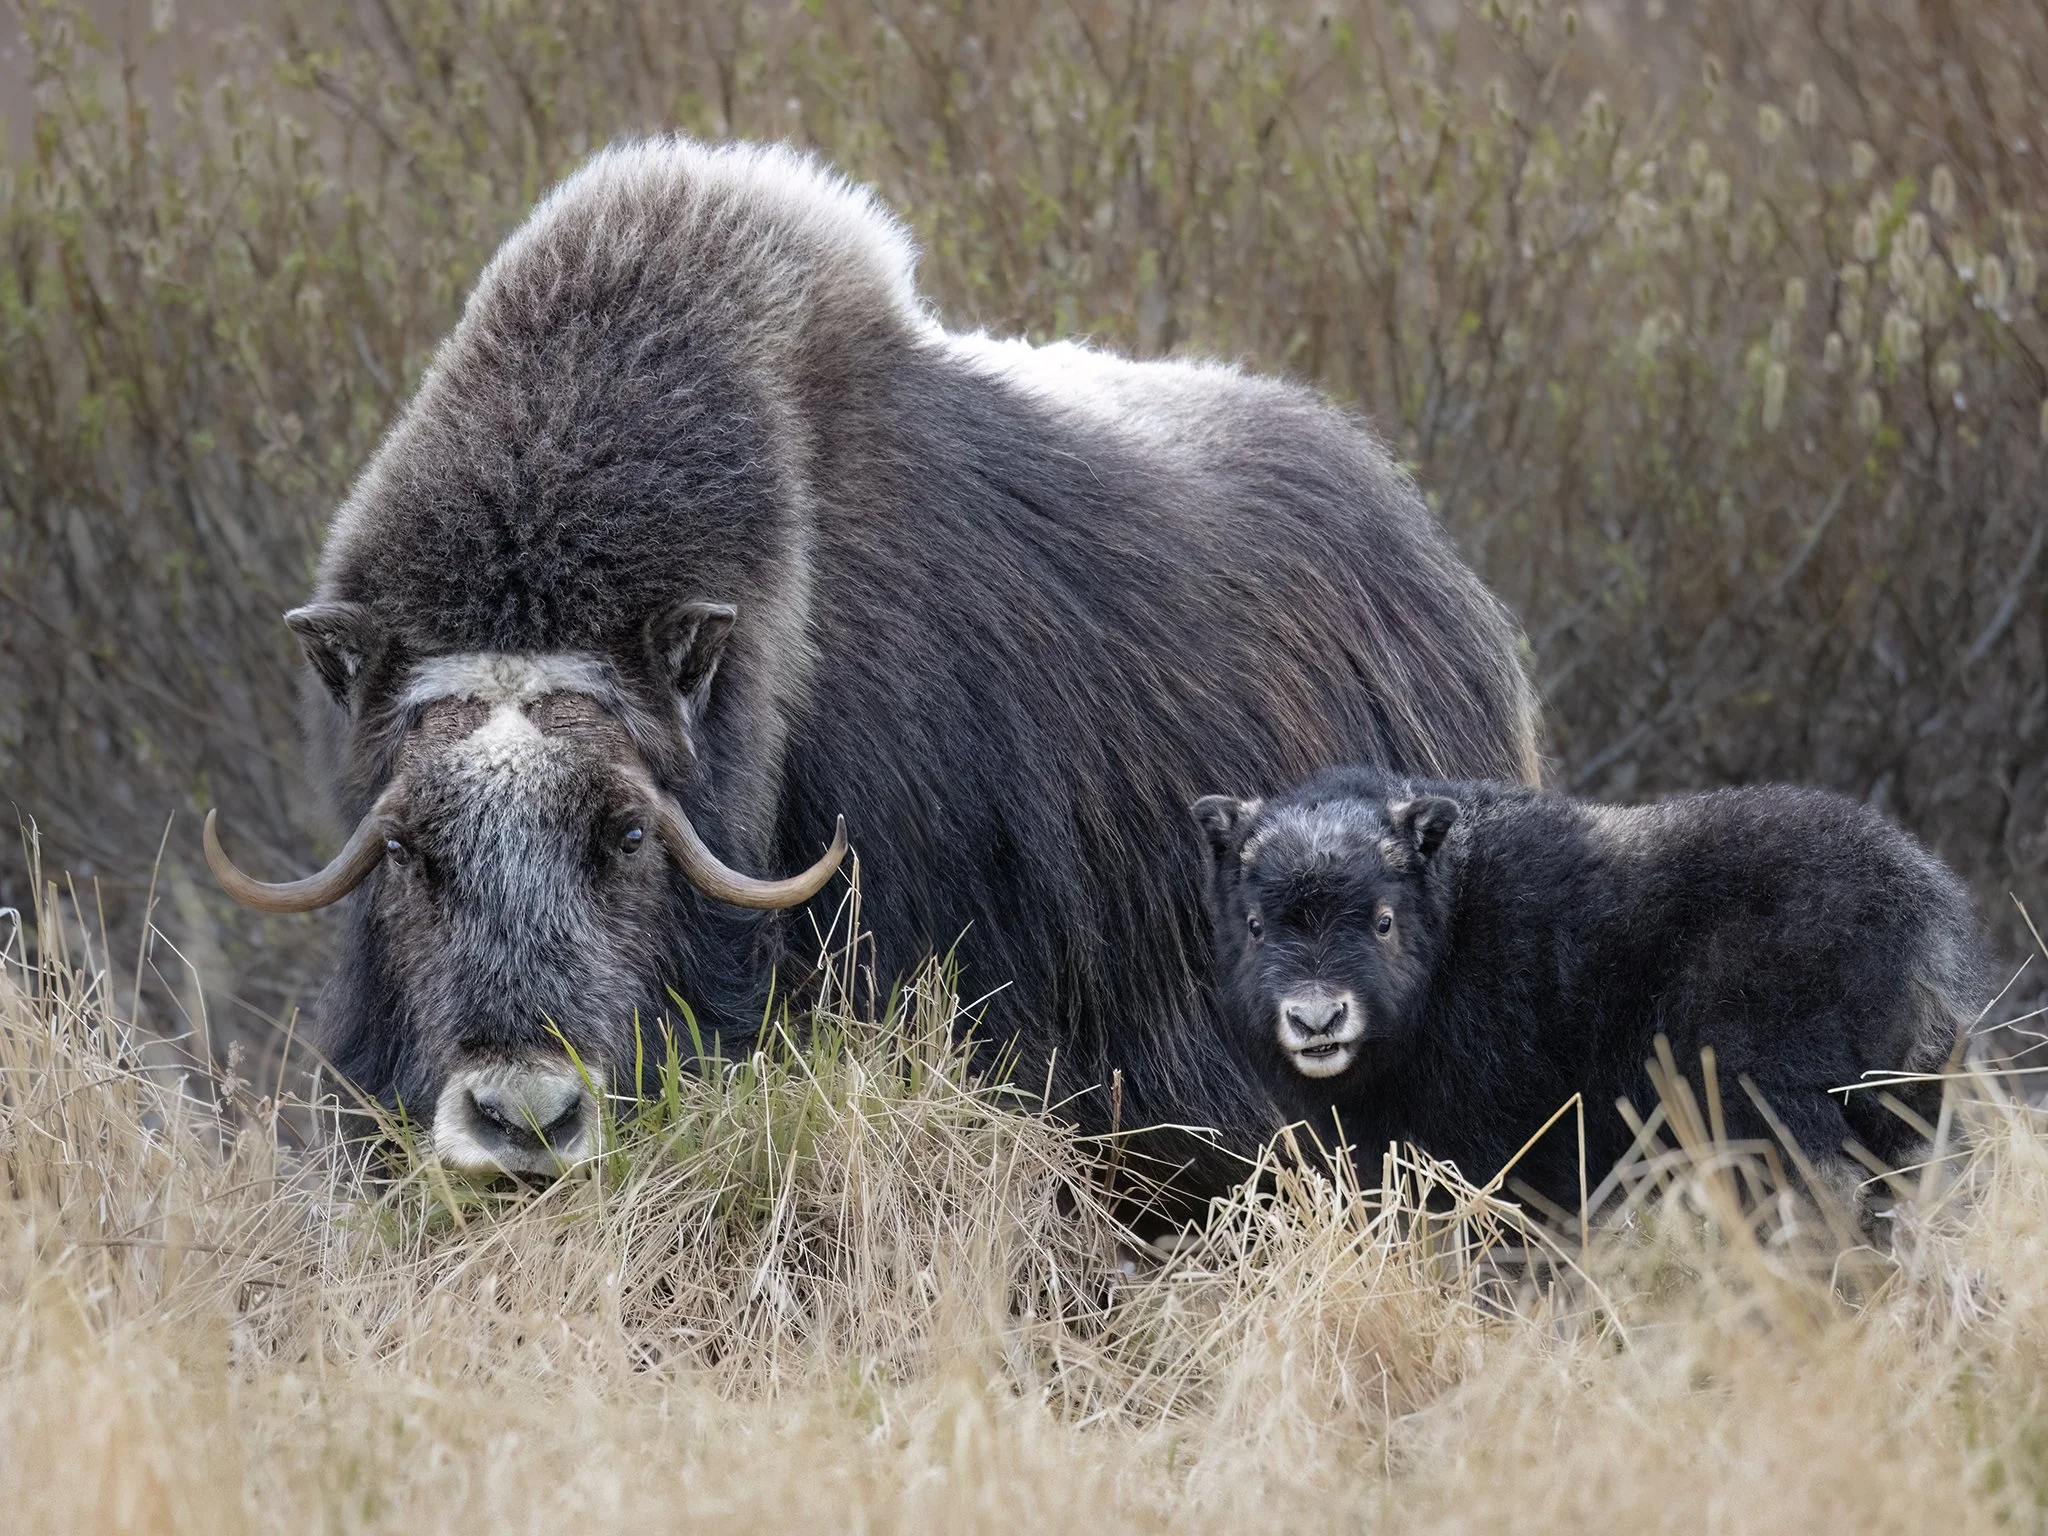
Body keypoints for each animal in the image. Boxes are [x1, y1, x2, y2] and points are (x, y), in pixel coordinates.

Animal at [1192, 766, 1987, 1221]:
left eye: (1383, 919)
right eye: (1256, 924)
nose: (1316, 1018)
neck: (1456, 928)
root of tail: (1921, 908)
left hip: (1769, 1095)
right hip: (1900, 1106)